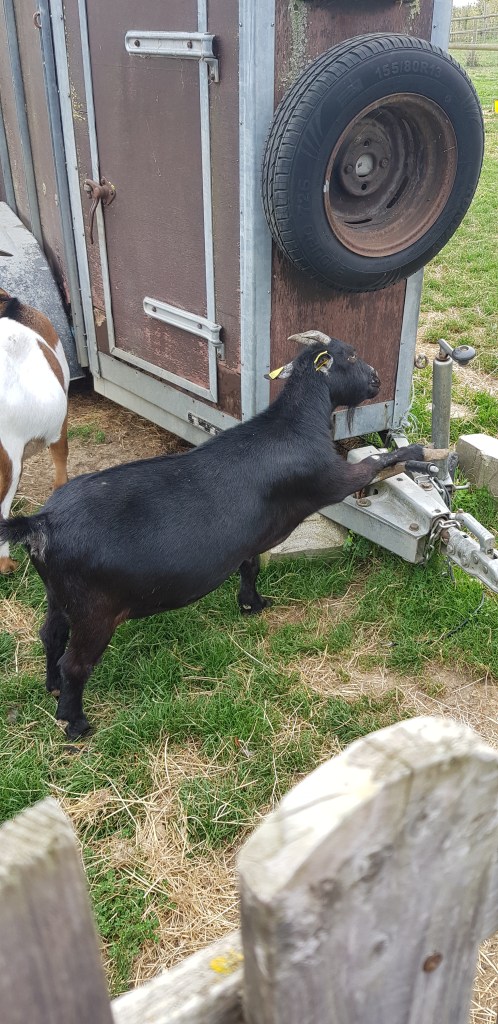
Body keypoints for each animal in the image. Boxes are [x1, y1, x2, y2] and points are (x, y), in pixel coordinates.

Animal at [0, 330, 443, 738]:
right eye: (349, 355)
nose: (376, 380)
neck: (293, 426)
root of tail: (42, 523)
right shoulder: (329, 479)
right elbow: (375, 463)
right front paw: (419, 454)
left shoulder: (250, 537)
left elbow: (250, 566)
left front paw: (252, 603)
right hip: (95, 610)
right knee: (75, 664)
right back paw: (75, 723)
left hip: (59, 595)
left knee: (50, 635)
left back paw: (52, 689)